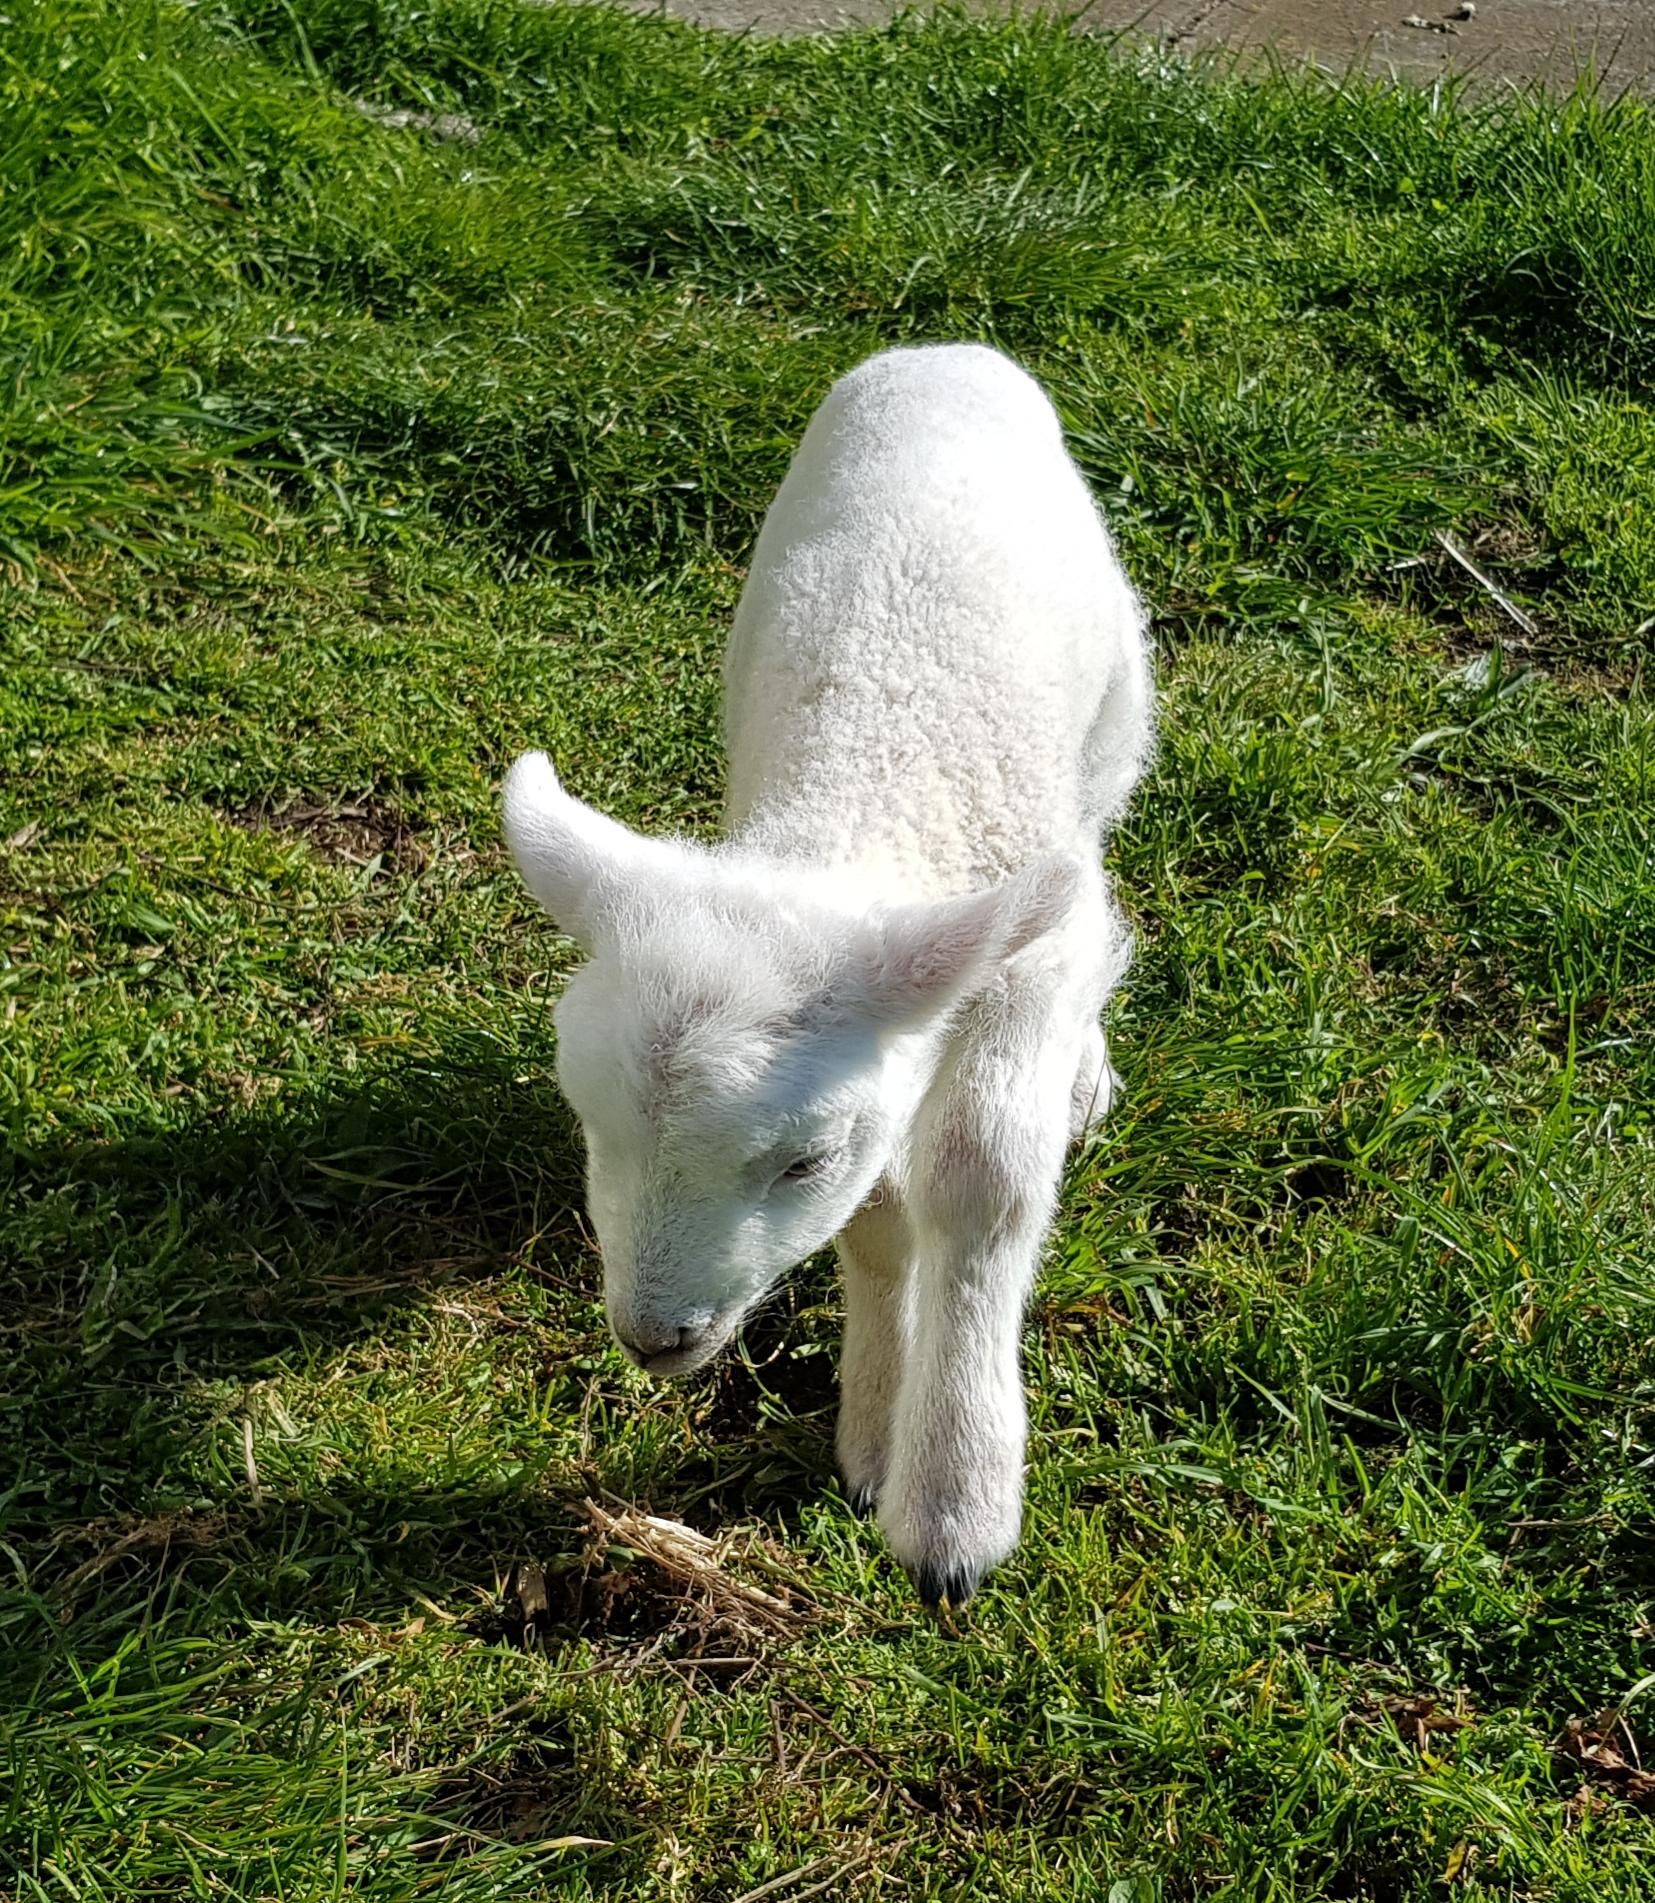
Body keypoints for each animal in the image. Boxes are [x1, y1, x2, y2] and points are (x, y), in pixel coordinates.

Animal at [503, 342, 1153, 1606]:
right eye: (586, 1120)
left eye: (800, 1159)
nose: (653, 1338)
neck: (866, 782)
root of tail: (946, 350)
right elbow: (884, 1211)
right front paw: (870, 1428)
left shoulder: (1020, 972)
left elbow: (981, 1177)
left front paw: (954, 1505)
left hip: (1113, 710)